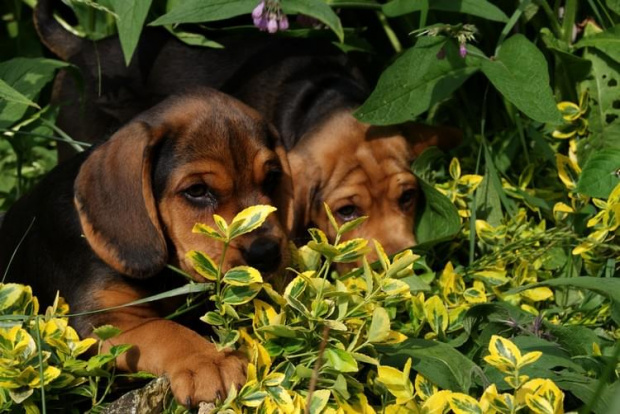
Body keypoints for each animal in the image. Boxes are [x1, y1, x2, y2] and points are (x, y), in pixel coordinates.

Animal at [0, 88, 294, 408]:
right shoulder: (103, 320)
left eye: (272, 178)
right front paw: (209, 361)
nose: (267, 254)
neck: (168, 274)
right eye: (197, 191)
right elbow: (163, 330)